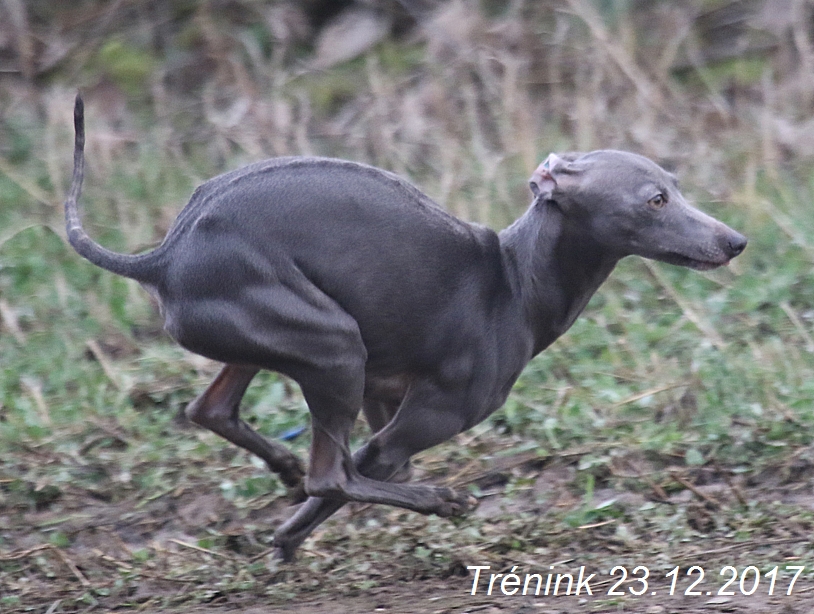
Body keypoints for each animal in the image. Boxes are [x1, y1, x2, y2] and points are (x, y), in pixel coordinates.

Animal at [65, 94, 744, 560]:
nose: (736, 241)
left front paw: (287, 533)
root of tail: (163, 255)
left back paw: (282, 466)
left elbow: (369, 468)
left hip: (277, 341)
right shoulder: (423, 419)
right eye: (655, 199)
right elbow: (358, 475)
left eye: (676, 185)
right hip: (334, 346)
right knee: (330, 474)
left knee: (212, 410)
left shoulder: (384, 396)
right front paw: (287, 538)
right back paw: (434, 500)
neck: (515, 280)